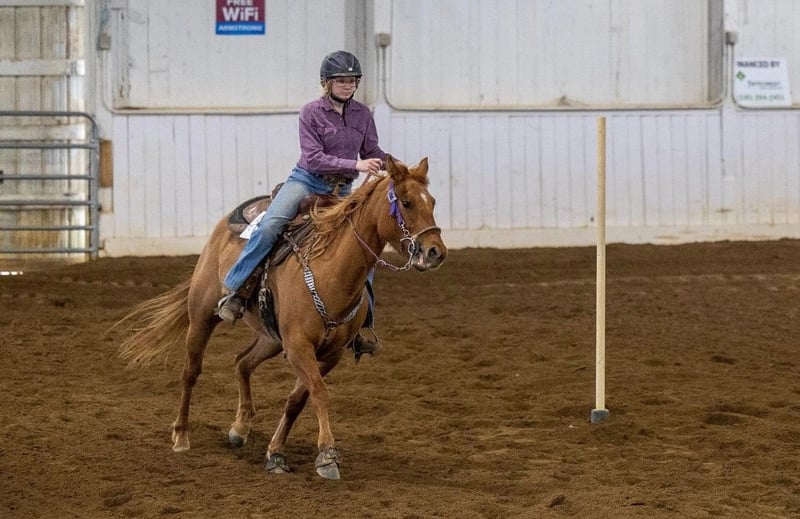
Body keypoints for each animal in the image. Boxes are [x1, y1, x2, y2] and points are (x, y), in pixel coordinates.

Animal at [116, 155, 447, 480]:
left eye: (432, 201)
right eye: (406, 202)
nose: (436, 252)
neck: (331, 272)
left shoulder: (329, 353)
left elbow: (298, 399)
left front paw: (275, 452)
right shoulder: (299, 346)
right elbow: (319, 392)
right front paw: (327, 455)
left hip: (271, 339)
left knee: (242, 362)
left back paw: (240, 428)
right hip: (201, 317)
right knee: (191, 372)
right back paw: (181, 435)